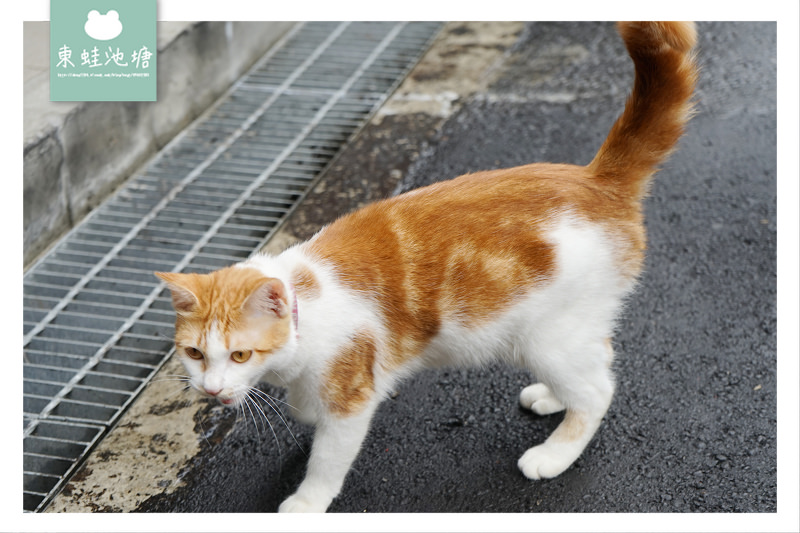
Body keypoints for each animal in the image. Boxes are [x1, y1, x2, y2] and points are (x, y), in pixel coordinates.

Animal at [156, 21, 700, 512]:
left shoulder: (353, 396)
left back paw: (554, 453)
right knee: (600, 358)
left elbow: (328, 459)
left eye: (240, 355)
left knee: (598, 390)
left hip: (547, 338)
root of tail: (596, 179)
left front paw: (305, 503)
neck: (303, 307)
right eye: (194, 354)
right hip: (572, 328)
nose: (211, 389)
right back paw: (551, 397)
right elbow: (305, 408)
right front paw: (302, 411)